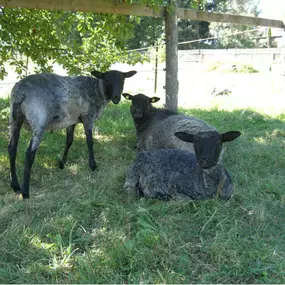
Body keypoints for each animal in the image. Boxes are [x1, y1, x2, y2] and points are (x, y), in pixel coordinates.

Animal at [7, 69, 136, 197]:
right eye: (107, 80)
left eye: (123, 80)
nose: (116, 98)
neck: (97, 90)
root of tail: (20, 91)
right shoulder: (88, 117)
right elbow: (90, 142)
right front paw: (93, 166)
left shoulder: (71, 120)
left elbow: (69, 141)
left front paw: (62, 164)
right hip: (38, 119)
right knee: (30, 153)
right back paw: (25, 191)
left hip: (15, 119)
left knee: (12, 149)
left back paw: (15, 186)